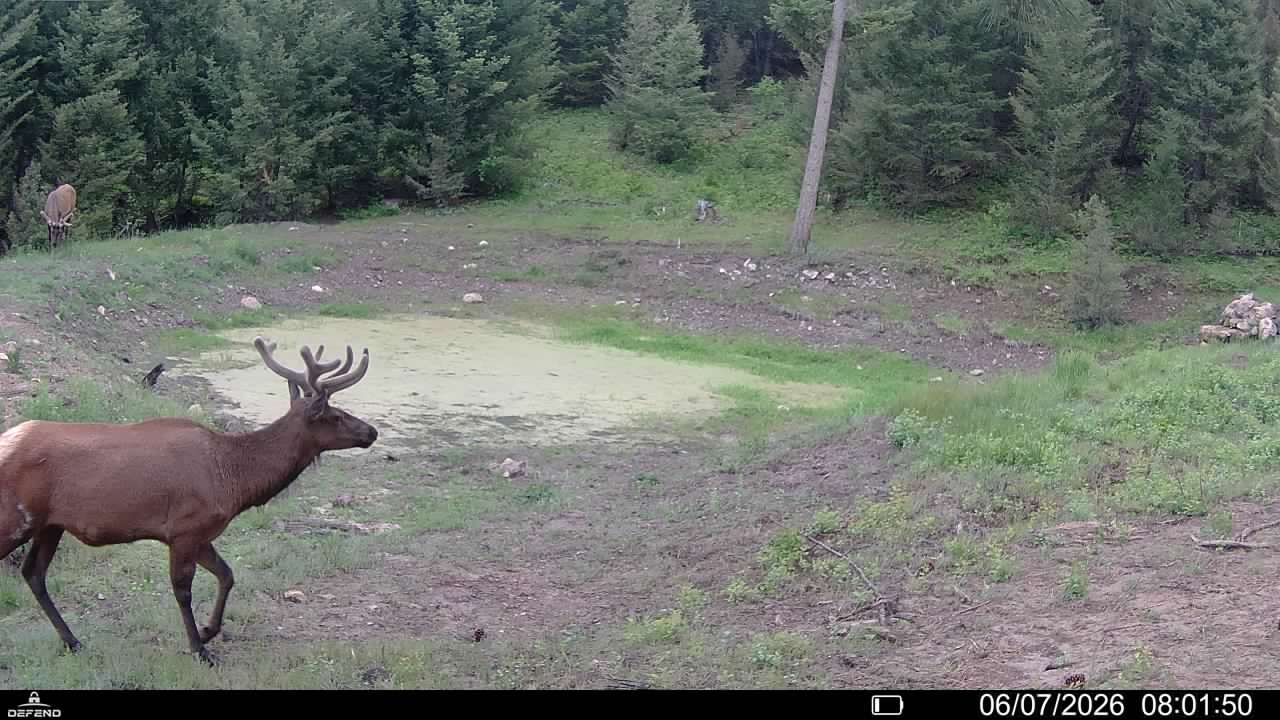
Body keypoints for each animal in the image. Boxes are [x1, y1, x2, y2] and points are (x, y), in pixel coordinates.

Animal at [0, 336, 377, 666]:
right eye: (336, 415)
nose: (371, 431)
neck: (234, 480)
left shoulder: (201, 533)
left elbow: (227, 574)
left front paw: (210, 630)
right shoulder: (184, 529)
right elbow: (183, 591)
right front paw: (200, 648)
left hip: (50, 524)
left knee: (33, 573)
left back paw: (73, 641)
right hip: (16, 518)